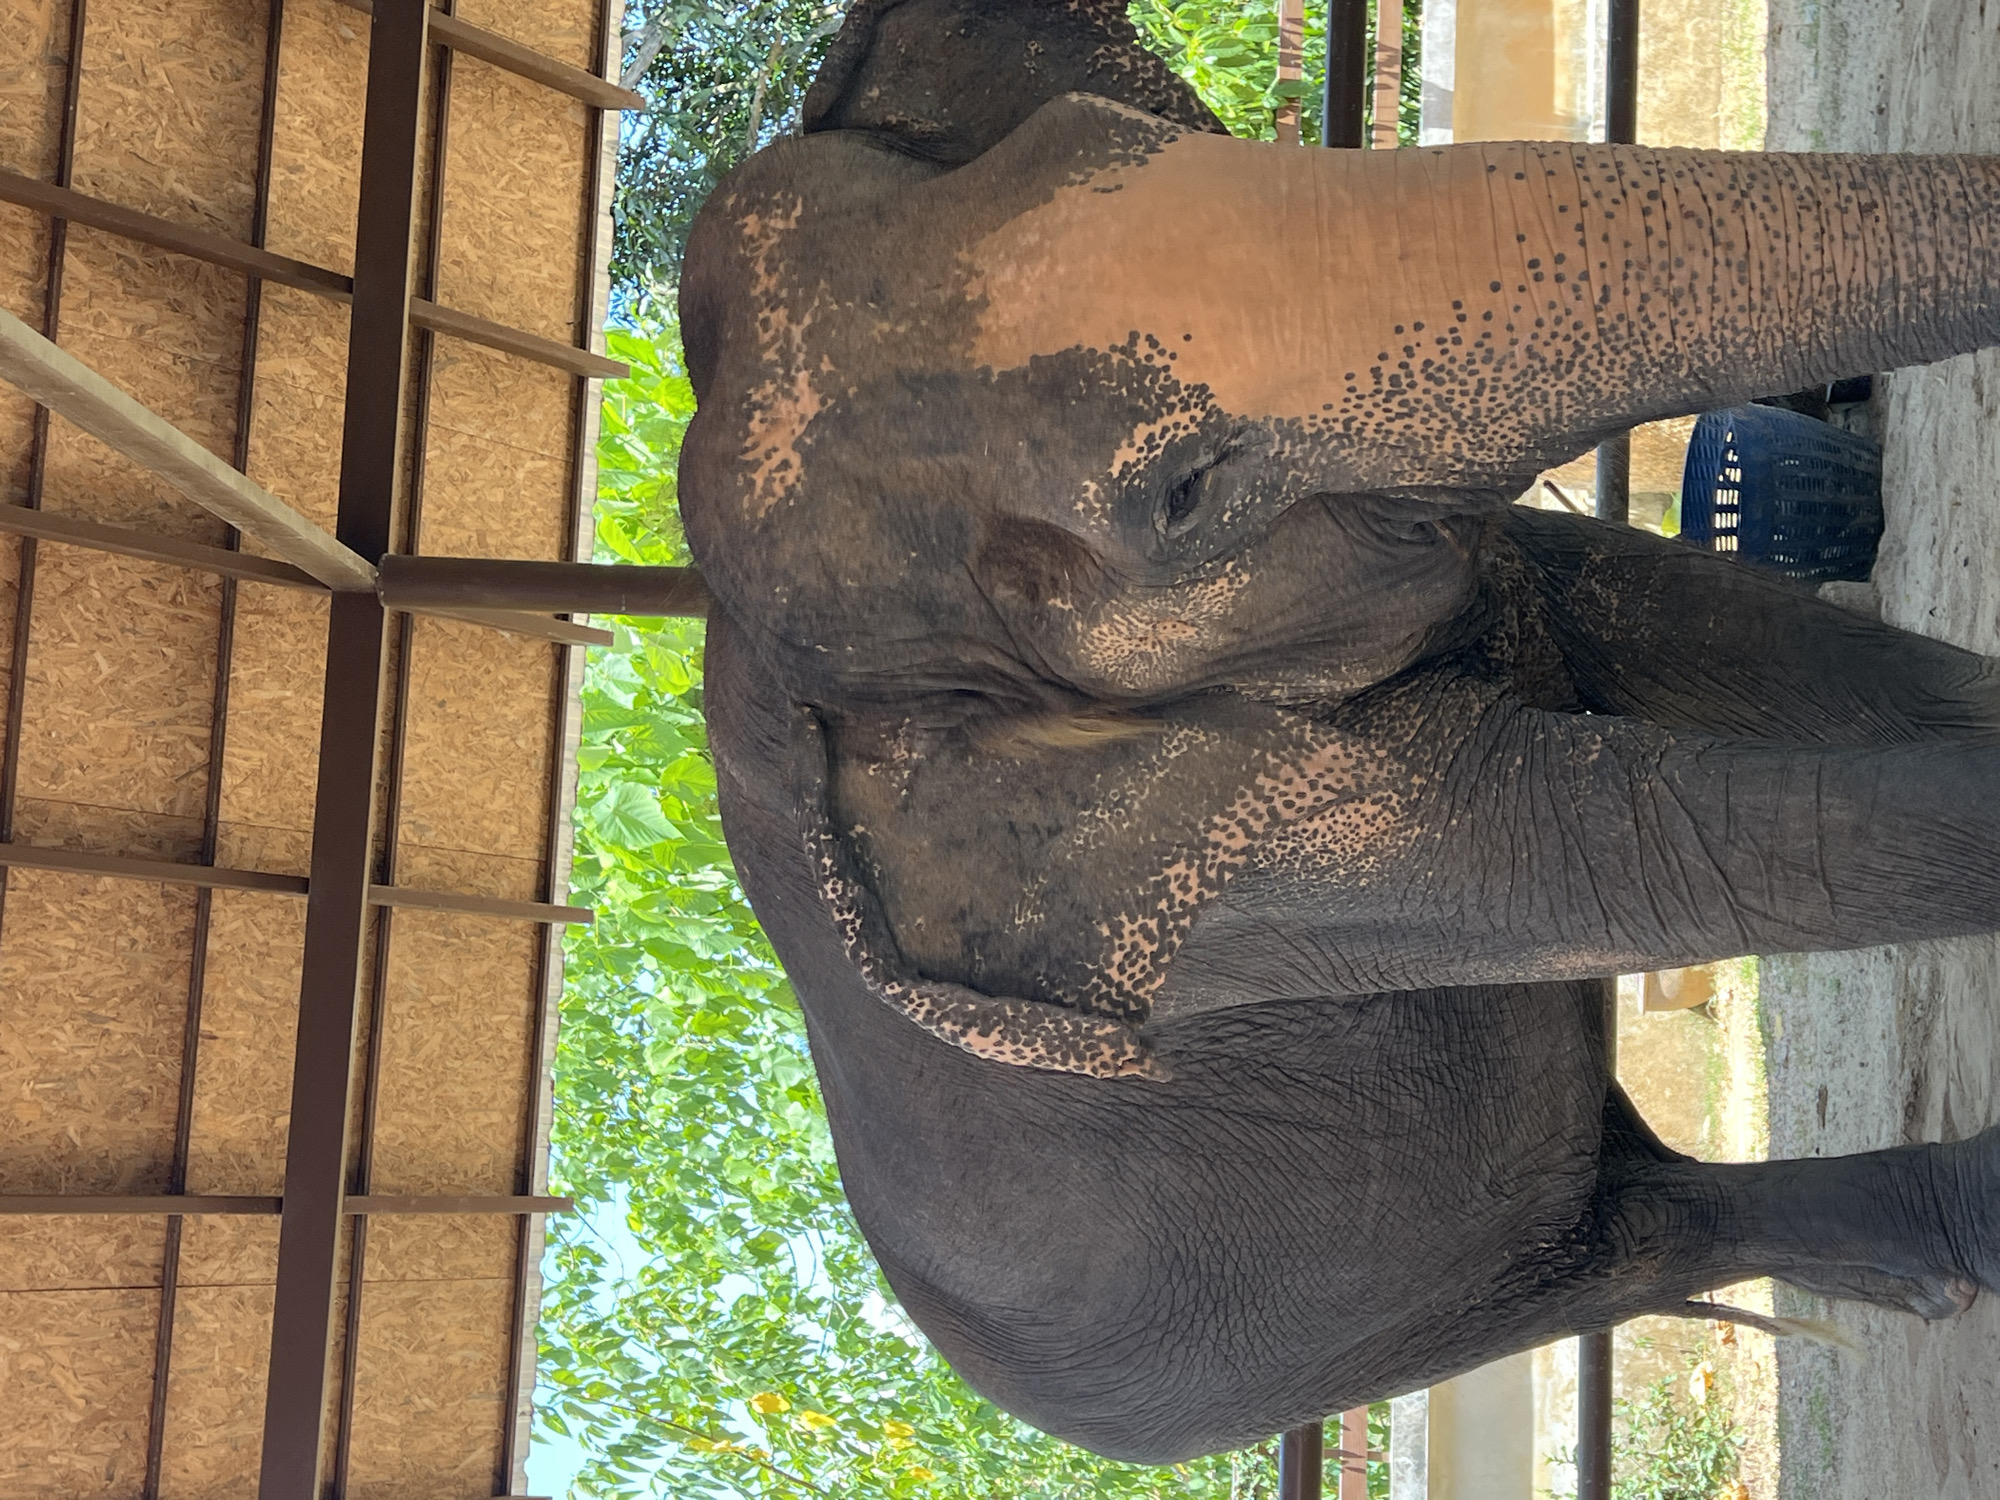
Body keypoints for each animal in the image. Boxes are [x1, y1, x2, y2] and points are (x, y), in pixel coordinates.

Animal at [680, 0, 2000, 1464]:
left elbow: (1734, 635)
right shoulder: (1219, 860)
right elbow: (1673, 851)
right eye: (1183, 495)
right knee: (1636, 1245)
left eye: (1128, 126)